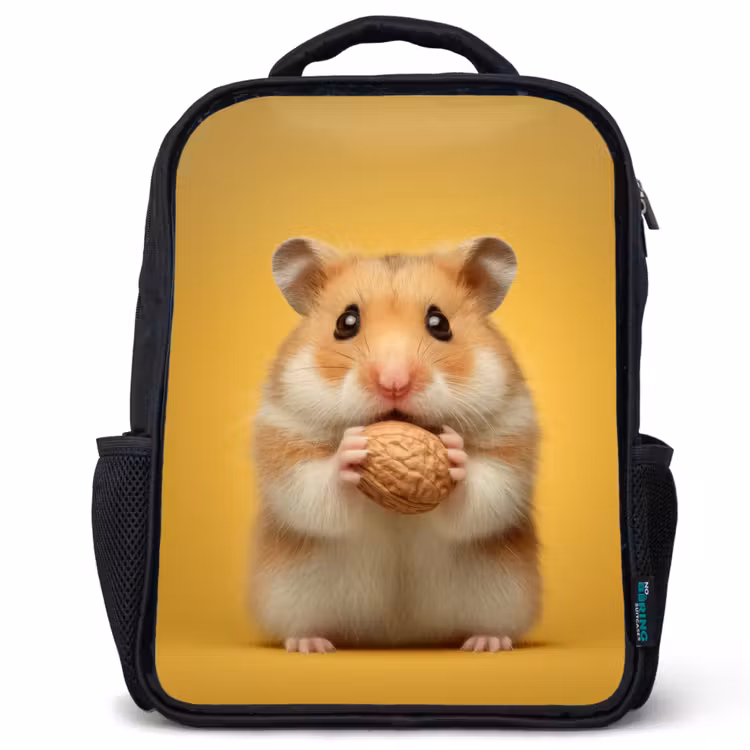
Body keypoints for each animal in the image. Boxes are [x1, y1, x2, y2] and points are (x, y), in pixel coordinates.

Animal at [249, 236, 540, 653]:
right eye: (345, 322)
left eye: (440, 323)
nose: (394, 383)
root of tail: (398, 636)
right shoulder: (284, 439)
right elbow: (312, 490)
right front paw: (351, 451)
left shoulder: (512, 437)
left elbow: (486, 493)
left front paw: (455, 454)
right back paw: (311, 644)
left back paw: (487, 643)